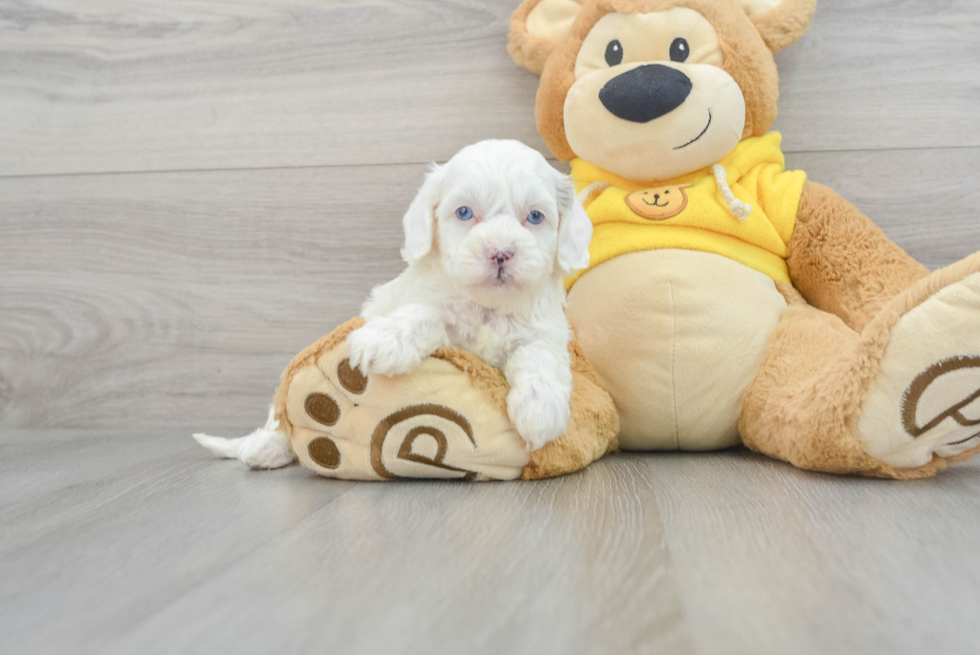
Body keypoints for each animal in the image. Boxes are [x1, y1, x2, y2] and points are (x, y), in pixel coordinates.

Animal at [191, 140, 588, 466]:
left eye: (534, 216)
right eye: (463, 212)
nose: (500, 252)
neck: (485, 307)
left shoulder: (544, 329)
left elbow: (540, 356)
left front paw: (541, 410)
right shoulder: (431, 310)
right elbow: (421, 317)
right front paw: (382, 342)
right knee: (277, 423)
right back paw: (268, 447)